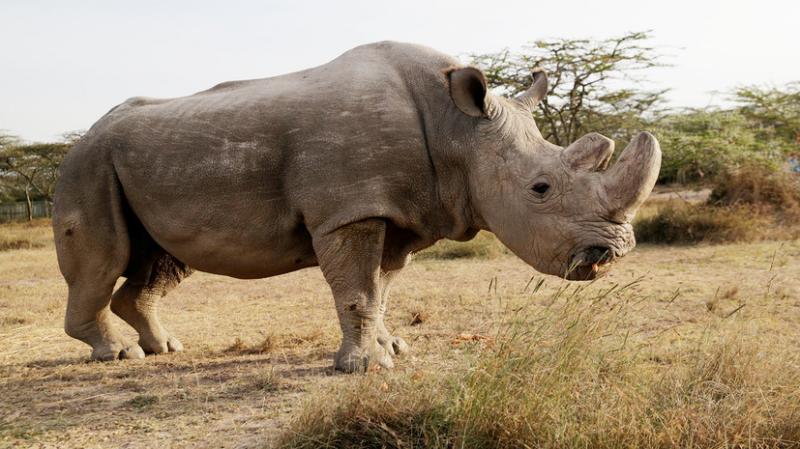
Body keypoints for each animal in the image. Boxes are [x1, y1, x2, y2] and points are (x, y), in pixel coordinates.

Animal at [53, 41, 660, 372]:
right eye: (540, 189)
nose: (612, 254)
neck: (457, 129)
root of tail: (83, 136)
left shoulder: (401, 211)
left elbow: (380, 290)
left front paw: (394, 348)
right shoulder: (349, 211)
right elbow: (357, 290)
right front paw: (365, 368)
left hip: (137, 164)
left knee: (159, 262)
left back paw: (164, 349)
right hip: (87, 165)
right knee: (105, 258)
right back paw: (119, 356)